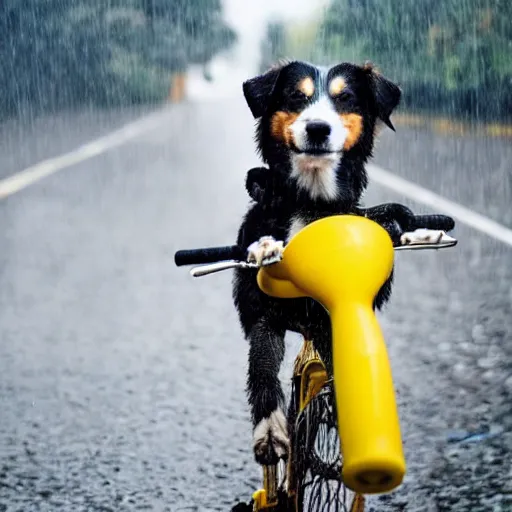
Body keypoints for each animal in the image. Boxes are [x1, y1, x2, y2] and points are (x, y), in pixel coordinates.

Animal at [231, 59, 452, 464]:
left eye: (345, 97)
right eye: (295, 96)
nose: (318, 127)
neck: (312, 205)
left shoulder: (334, 317)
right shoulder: (263, 313)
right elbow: (262, 363)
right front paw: (269, 430)